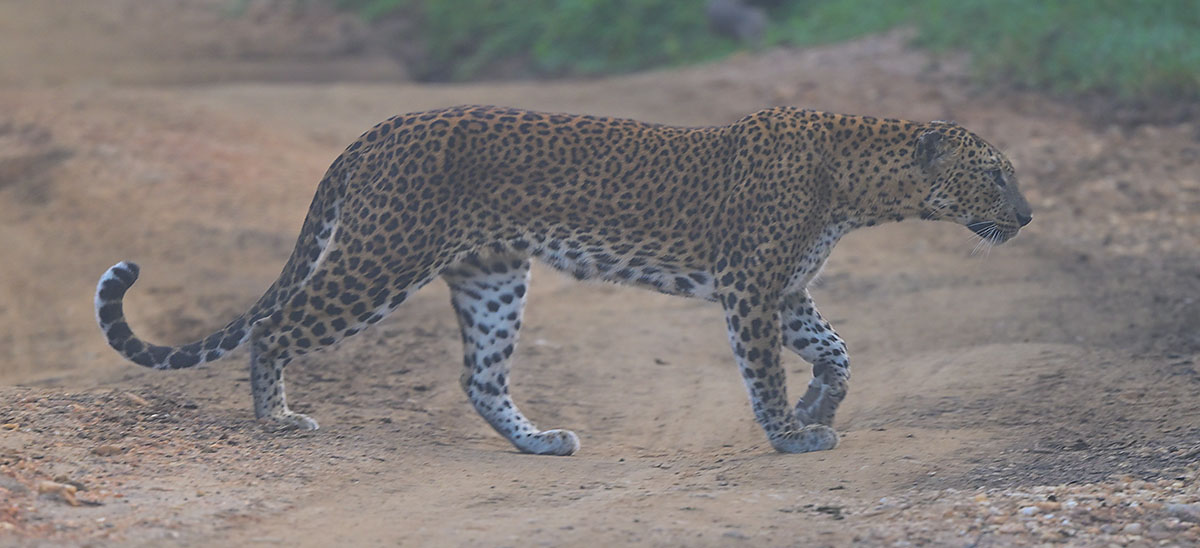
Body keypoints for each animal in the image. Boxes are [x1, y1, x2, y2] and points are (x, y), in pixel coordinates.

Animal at [95, 105, 1032, 456]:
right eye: (996, 177)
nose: (1027, 218)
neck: (863, 188)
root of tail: (380, 126)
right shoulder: (750, 289)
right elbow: (765, 369)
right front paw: (790, 432)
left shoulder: (788, 291)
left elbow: (839, 352)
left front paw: (817, 408)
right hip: (385, 258)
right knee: (274, 325)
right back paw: (277, 419)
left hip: (493, 276)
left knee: (479, 376)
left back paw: (538, 441)